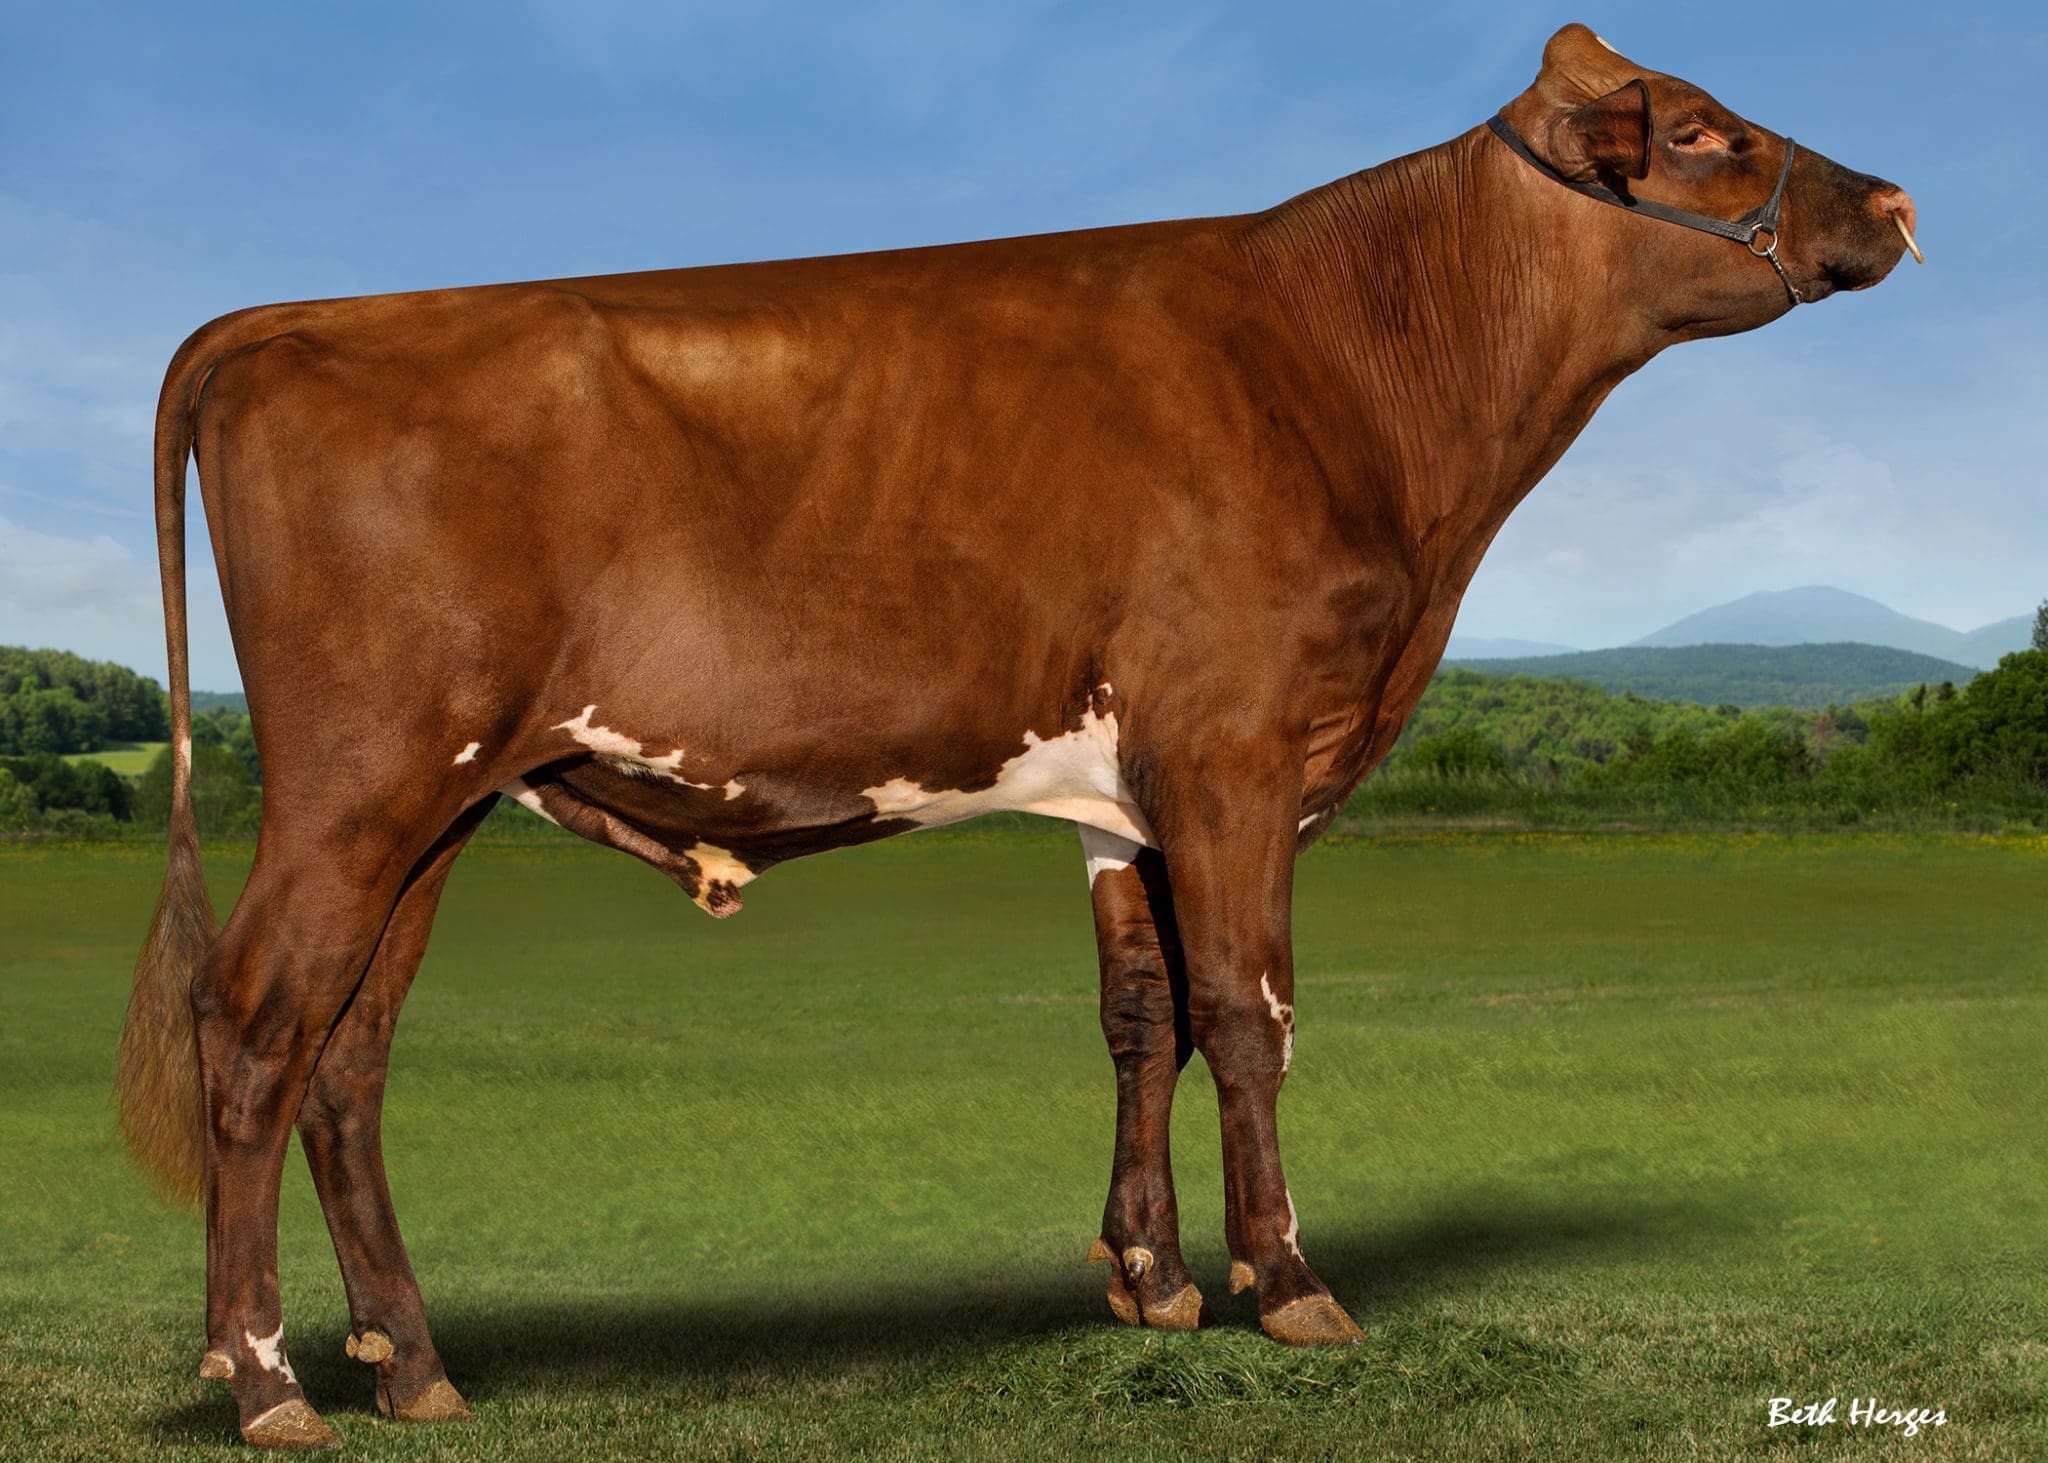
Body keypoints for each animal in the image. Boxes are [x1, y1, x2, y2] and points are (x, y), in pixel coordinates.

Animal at [113, 24, 1914, 1449]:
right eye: (1703, 132)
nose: (1895, 203)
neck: (1349, 374)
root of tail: (294, 317)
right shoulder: (1239, 741)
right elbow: (1247, 1007)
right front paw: (1287, 1281)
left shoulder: (1128, 786)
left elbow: (1141, 1013)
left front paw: (1151, 1277)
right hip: (357, 779)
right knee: (256, 1022)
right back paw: (266, 1377)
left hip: (440, 801)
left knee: (349, 1050)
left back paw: (411, 1361)